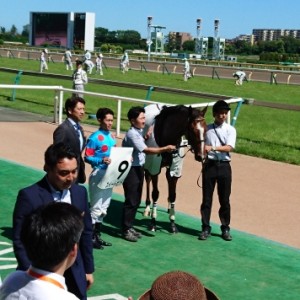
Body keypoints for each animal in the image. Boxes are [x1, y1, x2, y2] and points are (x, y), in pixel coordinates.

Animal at [143, 104, 206, 233]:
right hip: (148, 164)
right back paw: (147, 208)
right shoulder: (155, 168)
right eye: (193, 130)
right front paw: (153, 222)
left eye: (206, 129)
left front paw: (172, 222)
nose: (201, 156)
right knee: (147, 179)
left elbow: (173, 195)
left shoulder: (175, 170)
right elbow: (155, 193)